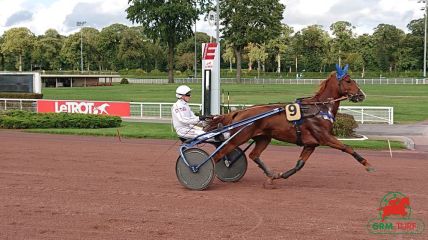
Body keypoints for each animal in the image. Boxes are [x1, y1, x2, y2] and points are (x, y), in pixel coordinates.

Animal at [204, 64, 374, 188]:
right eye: (348, 81)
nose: (361, 95)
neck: (320, 109)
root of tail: (239, 112)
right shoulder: (325, 137)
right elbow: (347, 147)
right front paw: (368, 164)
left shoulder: (311, 144)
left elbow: (299, 165)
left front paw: (279, 176)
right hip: (238, 137)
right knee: (219, 155)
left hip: (263, 138)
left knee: (253, 155)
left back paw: (270, 174)